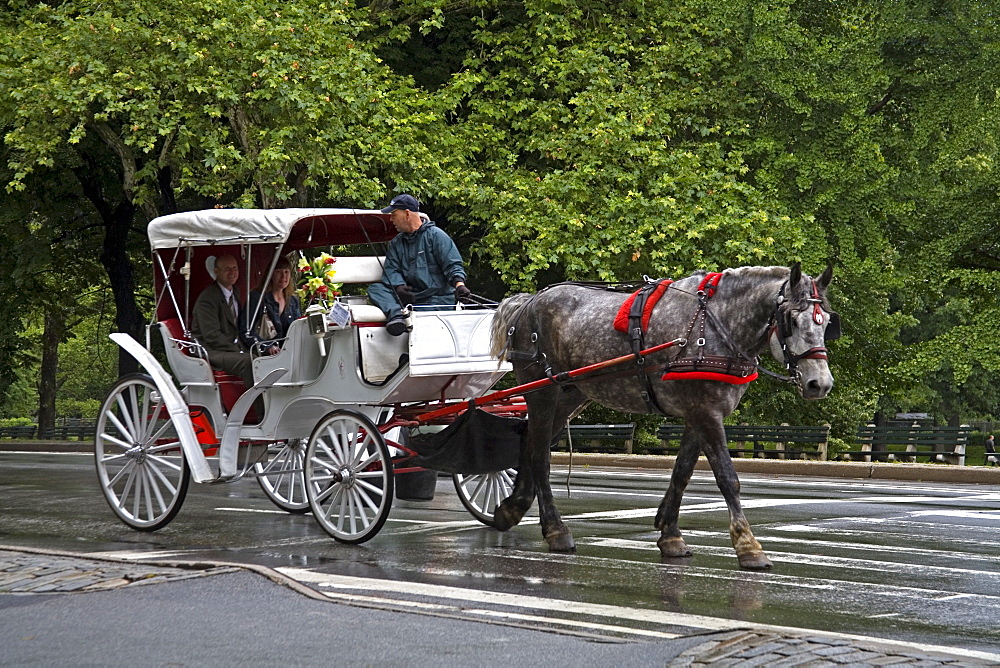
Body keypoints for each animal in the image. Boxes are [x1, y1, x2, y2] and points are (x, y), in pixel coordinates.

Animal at [488, 262, 840, 568]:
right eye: (792, 320)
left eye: (825, 322)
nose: (819, 383)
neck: (716, 326)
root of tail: (528, 301)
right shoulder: (705, 412)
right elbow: (728, 478)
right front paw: (747, 545)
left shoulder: (699, 414)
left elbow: (681, 473)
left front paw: (670, 534)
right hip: (542, 392)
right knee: (540, 456)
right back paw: (556, 529)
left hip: (571, 394)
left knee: (530, 442)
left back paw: (513, 507)